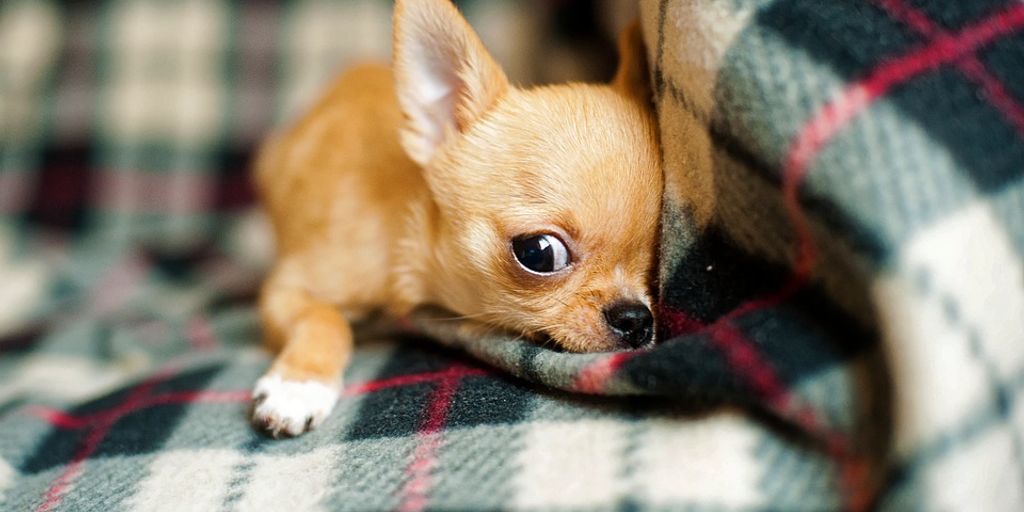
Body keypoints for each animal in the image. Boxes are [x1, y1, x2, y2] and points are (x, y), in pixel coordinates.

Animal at [251, 0, 659, 436]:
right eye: (538, 253)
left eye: (657, 258)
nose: (635, 318)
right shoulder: (285, 290)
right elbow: (326, 317)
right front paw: (299, 385)